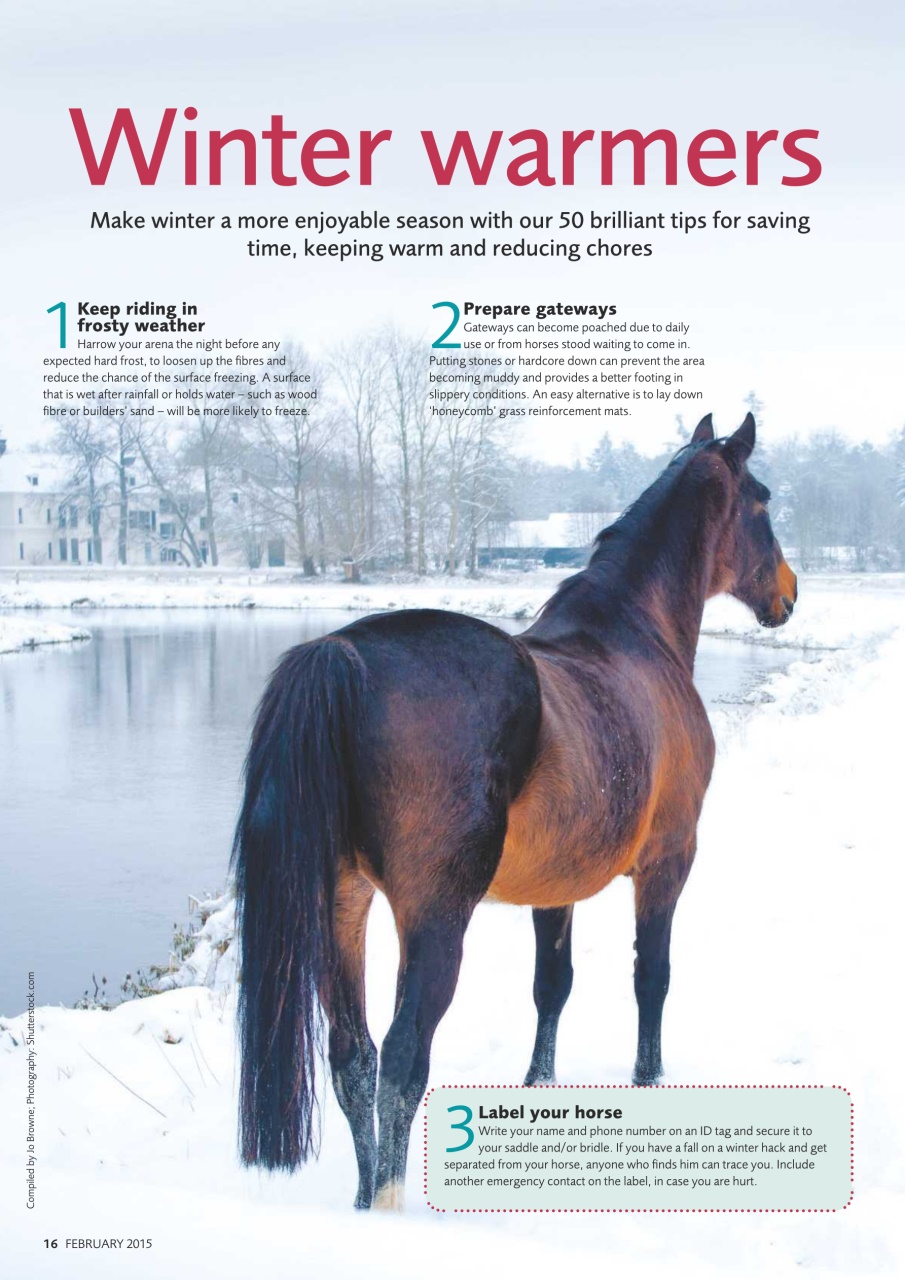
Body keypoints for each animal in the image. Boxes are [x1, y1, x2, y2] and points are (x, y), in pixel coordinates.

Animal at [232, 412, 797, 1212]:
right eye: (762, 500)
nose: (788, 593)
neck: (634, 634)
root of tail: (344, 654)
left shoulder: (554, 888)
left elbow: (551, 986)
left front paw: (538, 1086)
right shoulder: (669, 860)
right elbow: (650, 976)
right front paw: (648, 1078)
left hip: (342, 901)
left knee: (353, 1056)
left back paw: (364, 1198)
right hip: (433, 915)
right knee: (402, 1057)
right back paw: (389, 1204)